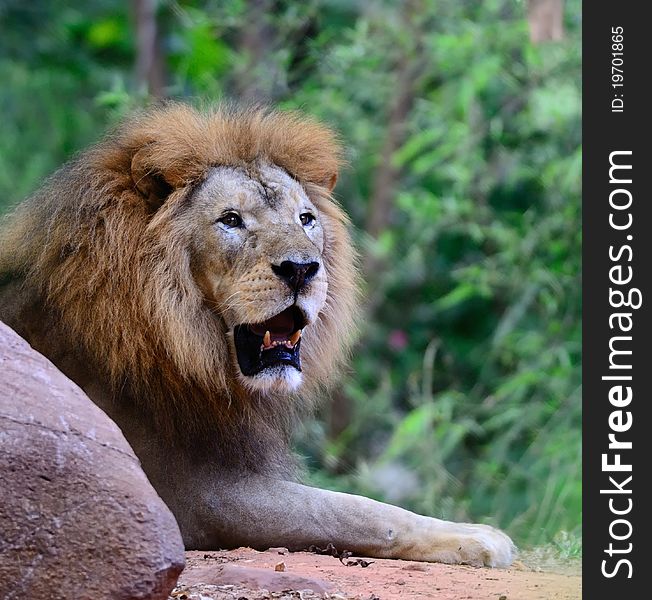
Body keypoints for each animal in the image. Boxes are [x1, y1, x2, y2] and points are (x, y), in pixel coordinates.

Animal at [0, 103, 516, 568]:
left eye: (306, 219)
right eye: (230, 219)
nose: (302, 269)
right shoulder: (191, 496)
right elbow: (356, 510)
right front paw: (479, 537)